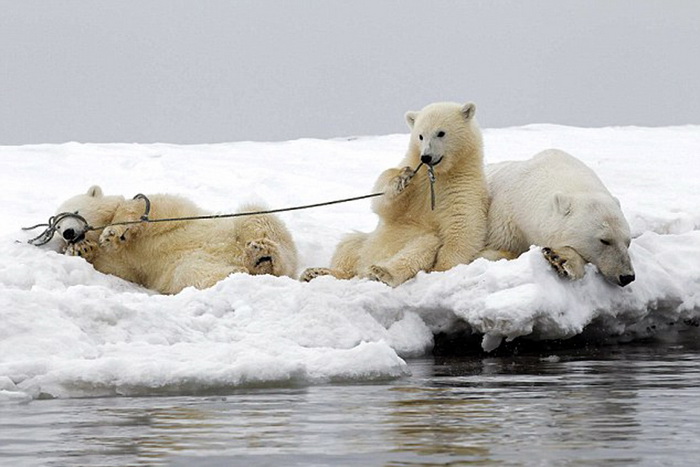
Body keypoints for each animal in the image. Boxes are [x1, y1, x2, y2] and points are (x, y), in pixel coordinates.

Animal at [52, 186, 298, 292]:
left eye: (75, 211)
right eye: (56, 227)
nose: (68, 233)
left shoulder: (172, 214)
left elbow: (148, 206)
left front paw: (112, 233)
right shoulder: (125, 264)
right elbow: (117, 268)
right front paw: (82, 249)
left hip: (241, 225)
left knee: (257, 218)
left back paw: (263, 252)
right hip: (194, 264)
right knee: (195, 275)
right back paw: (252, 266)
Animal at [300, 100, 486, 288]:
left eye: (441, 133)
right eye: (420, 135)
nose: (425, 157)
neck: (437, 174)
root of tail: (363, 267)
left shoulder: (463, 186)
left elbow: (463, 226)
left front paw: (441, 269)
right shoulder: (418, 181)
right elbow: (386, 205)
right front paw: (401, 179)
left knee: (423, 246)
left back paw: (381, 272)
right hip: (367, 243)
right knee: (349, 245)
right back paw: (316, 272)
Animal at [484, 150, 636, 288]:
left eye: (627, 242)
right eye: (604, 240)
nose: (627, 277)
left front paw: (559, 258)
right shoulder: (506, 222)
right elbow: (498, 249)